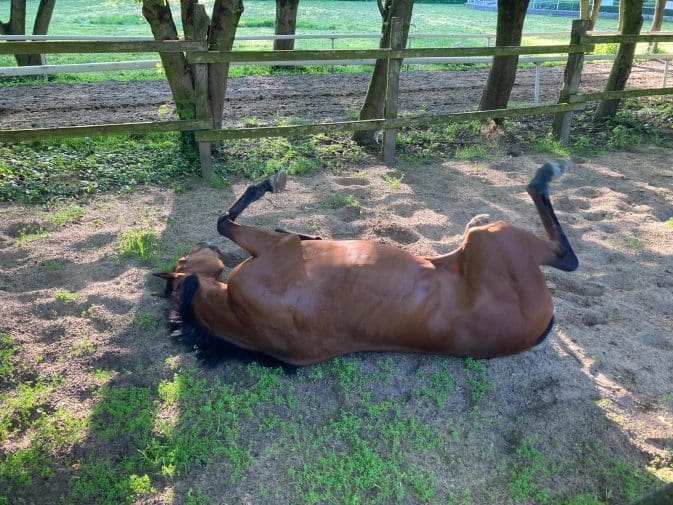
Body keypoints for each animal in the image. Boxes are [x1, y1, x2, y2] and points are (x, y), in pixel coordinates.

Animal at [156, 163, 576, 364]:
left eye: (183, 257)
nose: (199, 245)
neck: (239, 317)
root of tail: (538, 330)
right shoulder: (281, 250)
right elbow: (224, 220)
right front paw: (270, 184)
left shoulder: (281, 246)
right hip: (492, 240)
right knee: (566, 257)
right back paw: (544, 175)